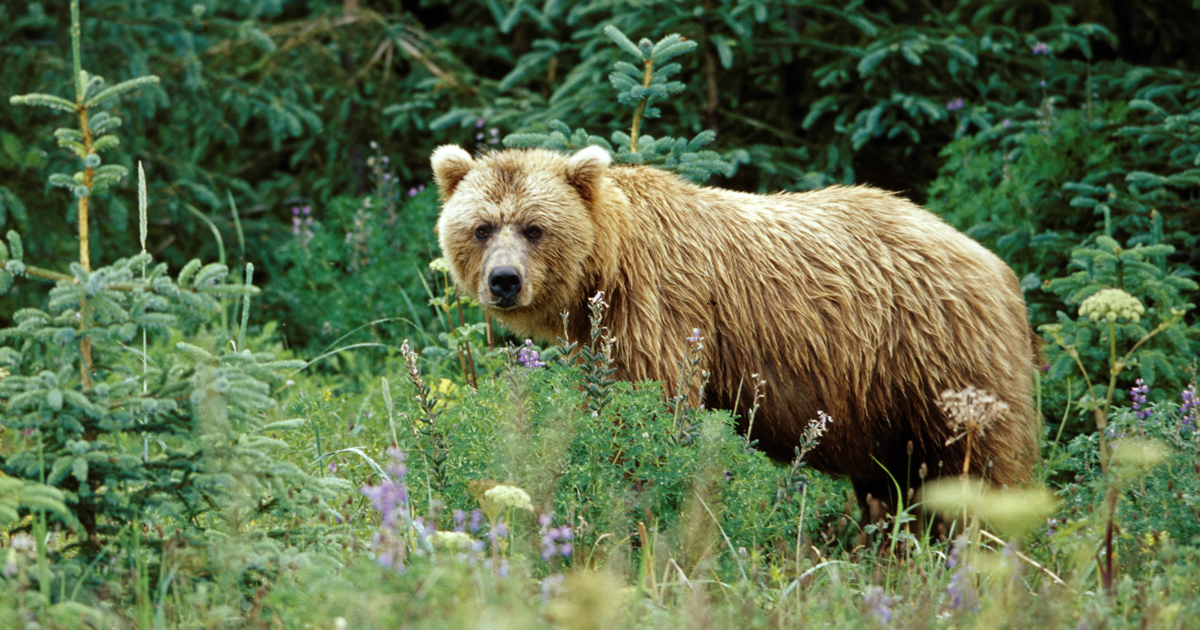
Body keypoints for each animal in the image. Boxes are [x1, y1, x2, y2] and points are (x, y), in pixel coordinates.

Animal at [431, 144, 1039, 516]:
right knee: (891, 482)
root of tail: (995, 264)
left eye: (534, 228)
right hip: (883, 402)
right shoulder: (601, 337)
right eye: (482, 227)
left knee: (981, 463)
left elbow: (654, 410)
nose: (504, 281)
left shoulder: (661, 313)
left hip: (937, 355)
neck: (607, 266)